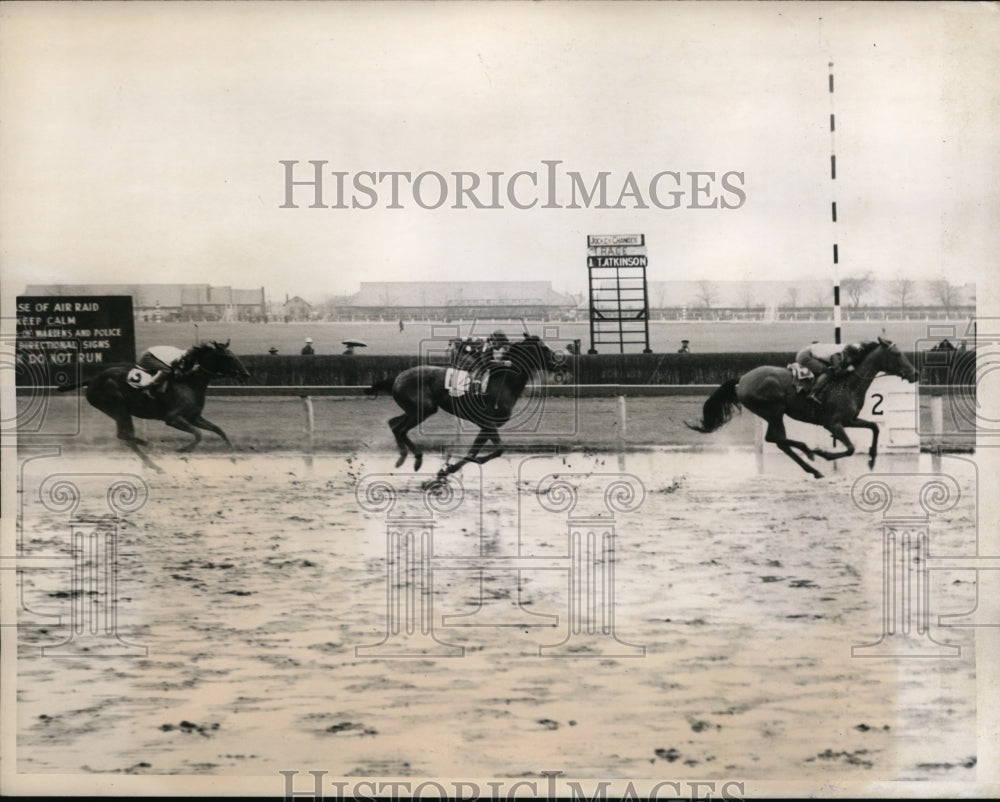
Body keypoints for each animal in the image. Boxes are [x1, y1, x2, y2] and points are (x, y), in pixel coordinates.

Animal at [58, 338, 250, 468]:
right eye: (228, 357)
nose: (246, 374)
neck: (189, 381)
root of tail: (92, 380)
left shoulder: (194, 417)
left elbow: (219, 430)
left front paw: (234, 457)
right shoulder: (172, 418)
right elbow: (198, 434)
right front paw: (183, 451)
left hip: (117, 411)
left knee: (126, 437)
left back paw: (154, 464)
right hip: (118, 407)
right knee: (124, 435)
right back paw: (154, 448)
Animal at [366, 332, 564, 478]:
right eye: (544, 347)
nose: (558, 361)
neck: (503, 382)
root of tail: (397, 378)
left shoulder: (486, 426)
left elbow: (475, 452)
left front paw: (448, 469)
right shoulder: (487, 423)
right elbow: (497, 449)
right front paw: (448, 469)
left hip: (414, 409)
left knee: (394, 424)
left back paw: (403, 456)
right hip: (424, 409)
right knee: (400, 429)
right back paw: (417, 459)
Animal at [688, 336, 916, 478]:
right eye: (897, 354)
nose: (915, 374)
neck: (849, 382)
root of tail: (742, 379)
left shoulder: (849, 420)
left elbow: (875, 427)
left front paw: (871, 459)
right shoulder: (833, 424)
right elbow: (850, 448)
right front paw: (825, 453)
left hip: (773, 413)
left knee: (779, 441)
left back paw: (813, 467)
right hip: (774, 410)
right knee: (775, 438)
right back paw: (810, 452)